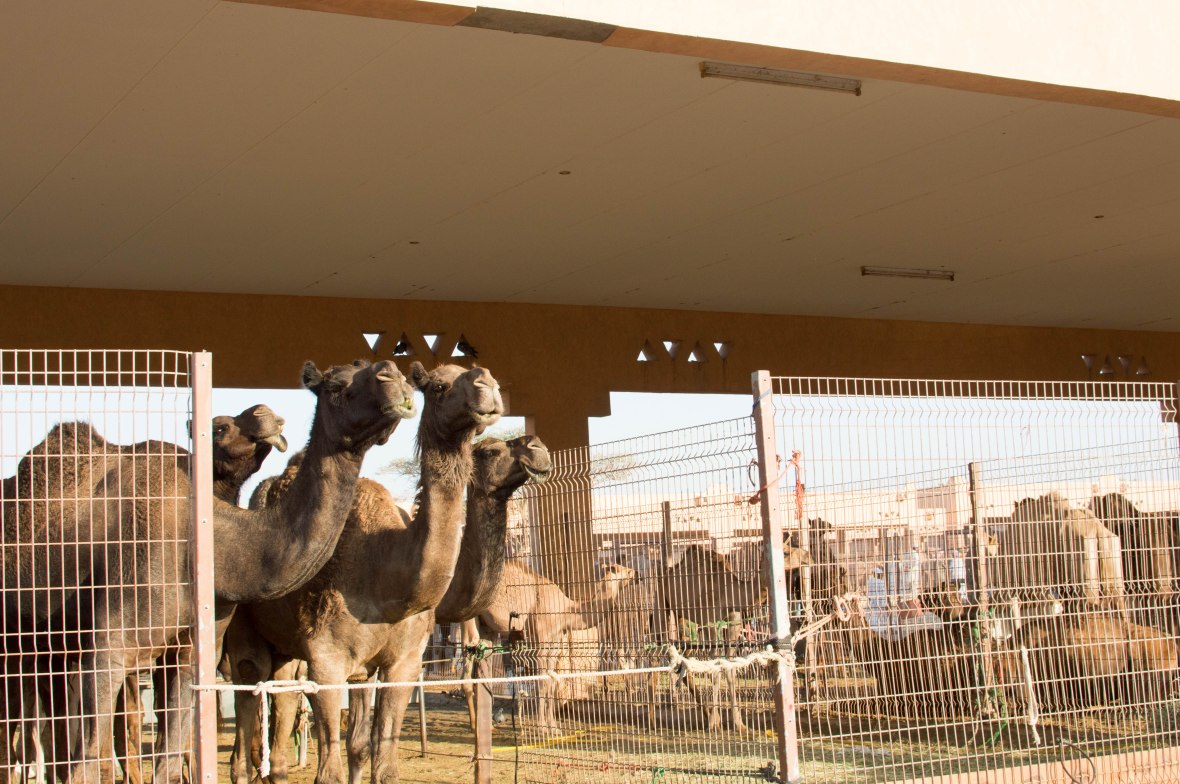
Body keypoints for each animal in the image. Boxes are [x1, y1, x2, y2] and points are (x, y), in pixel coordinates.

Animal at [1, 358, 416, 783]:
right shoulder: (107, 648)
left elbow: (167, 764)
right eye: (335, 386)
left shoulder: (188, 653)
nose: (393, 377)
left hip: (48, 647)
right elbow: (85, 763)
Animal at [227, 362, 504, 784]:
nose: (485, 382)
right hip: (245, 640)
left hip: (288, 651)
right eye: (438, 387)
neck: (387, 578)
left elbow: (376, 758)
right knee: (247, 700)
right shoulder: (326, 661)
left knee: (283, 703)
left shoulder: (401, 664)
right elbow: (330, 771)